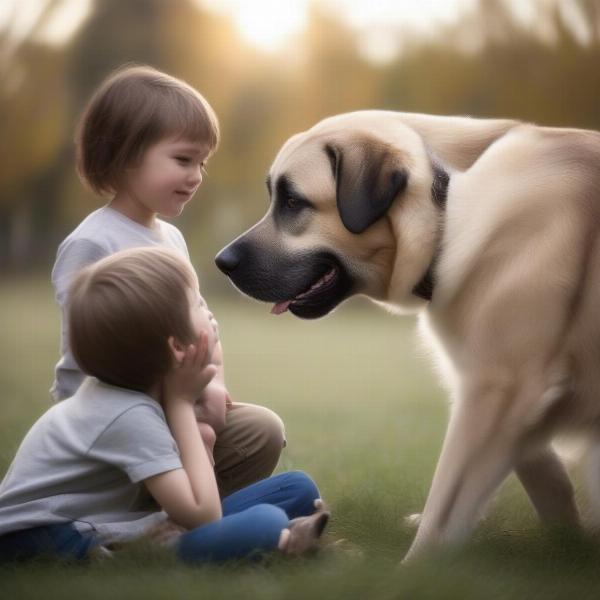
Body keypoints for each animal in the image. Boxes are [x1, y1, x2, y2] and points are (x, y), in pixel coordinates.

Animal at [214, 110, 600, 560]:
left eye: (294, 202)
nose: (221, 262)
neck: (446, 205)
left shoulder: (499, 386)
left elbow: (447, 500)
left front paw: (416, 567)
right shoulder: (506, 390)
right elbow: (542, 476)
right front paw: (565, 542)